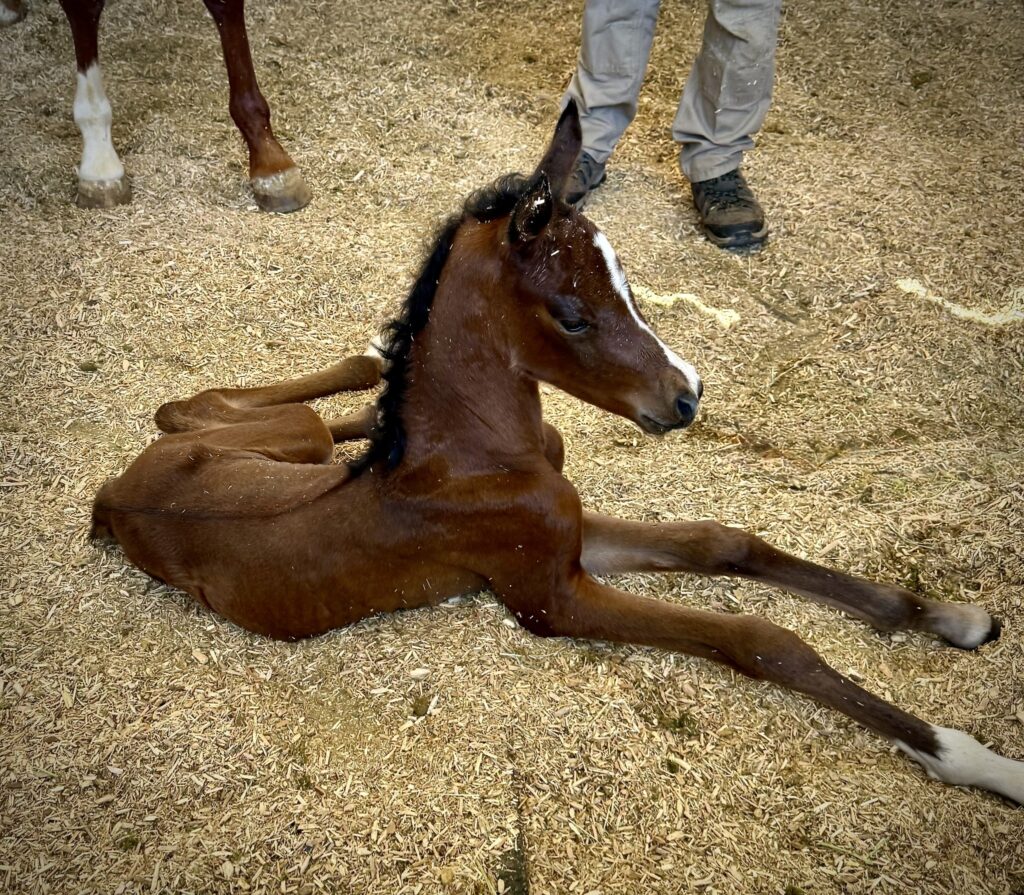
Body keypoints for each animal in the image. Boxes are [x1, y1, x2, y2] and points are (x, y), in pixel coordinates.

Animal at [90, 102, 1023, 805]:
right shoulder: (552, 595)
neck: (475, 454)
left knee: (198, 405)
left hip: (279, 438)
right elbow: (762, 638)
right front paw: (977, 758)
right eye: (573, 314)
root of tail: (109, 493)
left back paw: (366, 368)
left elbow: (722, 540)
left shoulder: (574, 535)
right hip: (284, 445)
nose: (686, 396)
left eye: (628, 282)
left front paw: (954, 617)